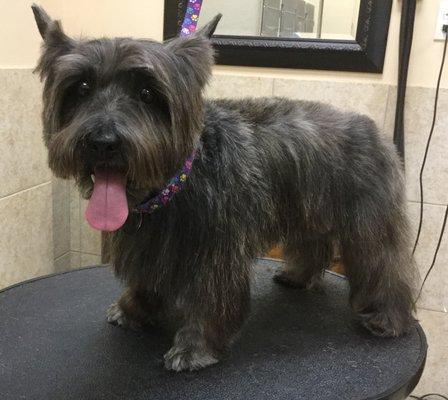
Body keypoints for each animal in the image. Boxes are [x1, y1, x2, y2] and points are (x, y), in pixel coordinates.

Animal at [31, 3, 416, 372]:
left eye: (147, 93)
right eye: (81, 88)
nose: (103, 142)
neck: (176, 184)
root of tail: (373, 129)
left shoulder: (215, 255)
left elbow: (210, 302)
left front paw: (194, 348)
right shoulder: (150, 247)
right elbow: (145, 280)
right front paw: (133, 309)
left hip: (368, 225)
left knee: (385, 266)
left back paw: (387, 318)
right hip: (308, 210)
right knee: (313, 247)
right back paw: (297, 275)